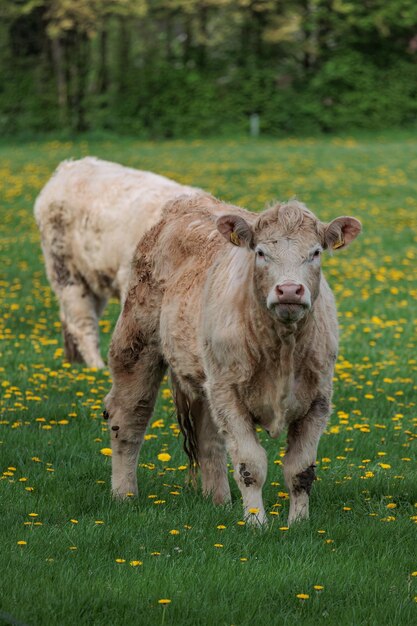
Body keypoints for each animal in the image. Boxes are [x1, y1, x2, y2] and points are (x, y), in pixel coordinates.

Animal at [105, 193, 360, 524]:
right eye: (261, 252)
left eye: (315, 253)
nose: (290, 290)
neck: (282, 349)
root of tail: (187, 200)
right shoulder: (230, 395)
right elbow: (251, 465)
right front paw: (256, 521)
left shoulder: (318, 400)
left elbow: (300, 470)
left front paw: (299, 523)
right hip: (137, 345)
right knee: (128, 416)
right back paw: (124, 495)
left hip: (206, 379)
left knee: (208, 438)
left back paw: (219, 502)